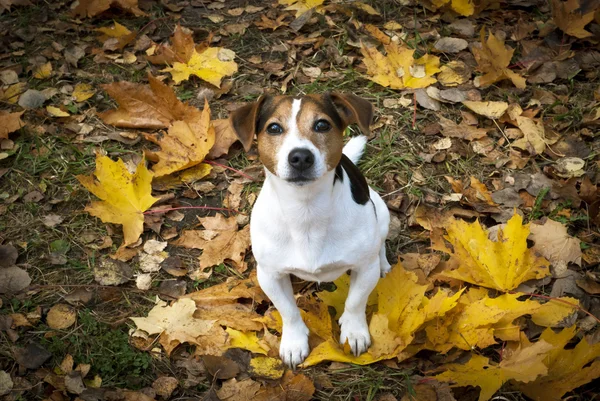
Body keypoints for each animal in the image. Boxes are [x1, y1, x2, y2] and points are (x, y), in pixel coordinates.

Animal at [229, 92, 390, 368]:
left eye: (322, 125)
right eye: (274, 128)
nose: (300, 157)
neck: (306, 210)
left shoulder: (363, 268)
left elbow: (356, 301)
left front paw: (354, 331)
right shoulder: (269, 275)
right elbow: (288, 311)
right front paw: (294, 342)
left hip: (381, 211)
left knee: (380, 245)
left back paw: (384, 263)